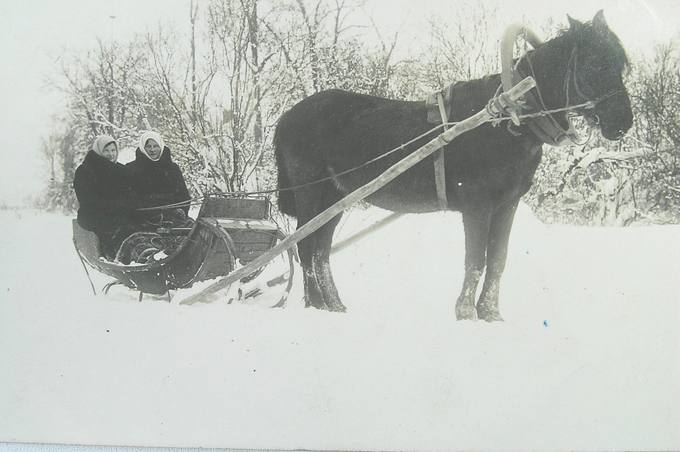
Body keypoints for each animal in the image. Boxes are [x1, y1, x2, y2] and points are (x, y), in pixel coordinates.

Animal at [274, 11, 636, 322]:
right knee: (305, 245)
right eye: (594, 64)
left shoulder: (507, 204)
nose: (623, 124)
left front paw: (491, 314)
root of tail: (287, 116)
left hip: (335, 198)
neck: (507, 118)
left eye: (620, 64)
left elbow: (498, 260)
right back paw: (316, 306)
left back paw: (332, 305)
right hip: (311, 195)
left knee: (320, 250)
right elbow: (475, 259)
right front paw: (465, 313)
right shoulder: (477, 205)